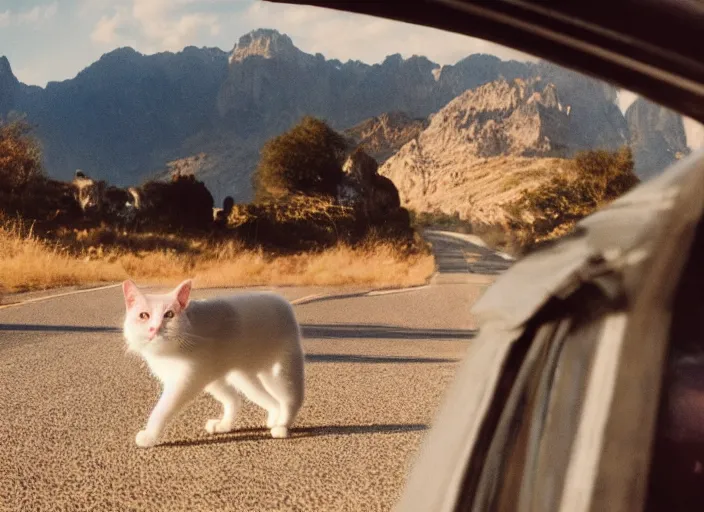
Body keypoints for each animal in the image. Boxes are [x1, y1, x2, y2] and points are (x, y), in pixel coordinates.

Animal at [119, 280, 306, 448]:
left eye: (169, 315)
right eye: (143, 315)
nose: (155, 328)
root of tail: (281, 300)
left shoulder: (184, 383)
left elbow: (161, 410)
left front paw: (149, 437)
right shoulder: (211, 378)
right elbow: (232, 399)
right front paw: (224, 425)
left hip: (282, 369)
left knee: (291, 399)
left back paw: (282, 426)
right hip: (244, 378)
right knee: (271, 401)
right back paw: (270, 419)